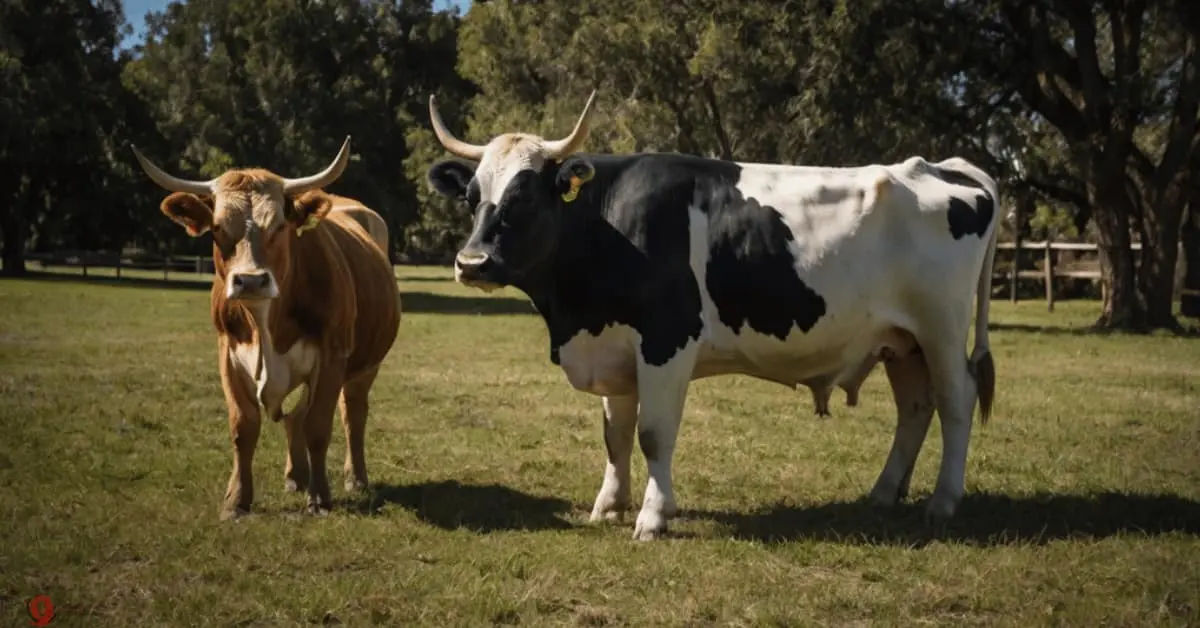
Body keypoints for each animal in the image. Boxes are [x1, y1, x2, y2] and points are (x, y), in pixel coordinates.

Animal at [130, 138, 402, 519]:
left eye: (279, 226)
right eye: (217, 228)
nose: (251, 280)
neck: (265, 325)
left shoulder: (332, 357)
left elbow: (319, 425)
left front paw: (320, 498)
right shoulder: (227, 353)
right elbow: (244, 425)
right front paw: (236, 500)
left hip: (366, 365)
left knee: (353, 413)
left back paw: (355, 478)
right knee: (296, 417)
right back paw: (295, 476)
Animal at [424, 91, 998, 541]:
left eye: (525, 196)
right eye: (472, 197)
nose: (471, 263)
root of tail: (940, 167)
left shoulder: (666, 341)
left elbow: (653, 433)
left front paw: (653, 518)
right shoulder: (612, 346)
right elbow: (616, 435)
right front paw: (608, 507)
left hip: (942, 330)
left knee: (957, 401)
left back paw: (942, 503)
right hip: (901, 340)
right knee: (916, 407)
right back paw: (882, 493)